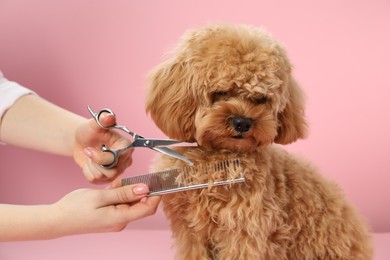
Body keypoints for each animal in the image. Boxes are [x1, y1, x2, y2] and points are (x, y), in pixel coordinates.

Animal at [145, 23, 374, 258]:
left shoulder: (244, 231)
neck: (218, 156)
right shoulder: (191, 233)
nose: (242, 122)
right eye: (221, 92)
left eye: (260, 98)